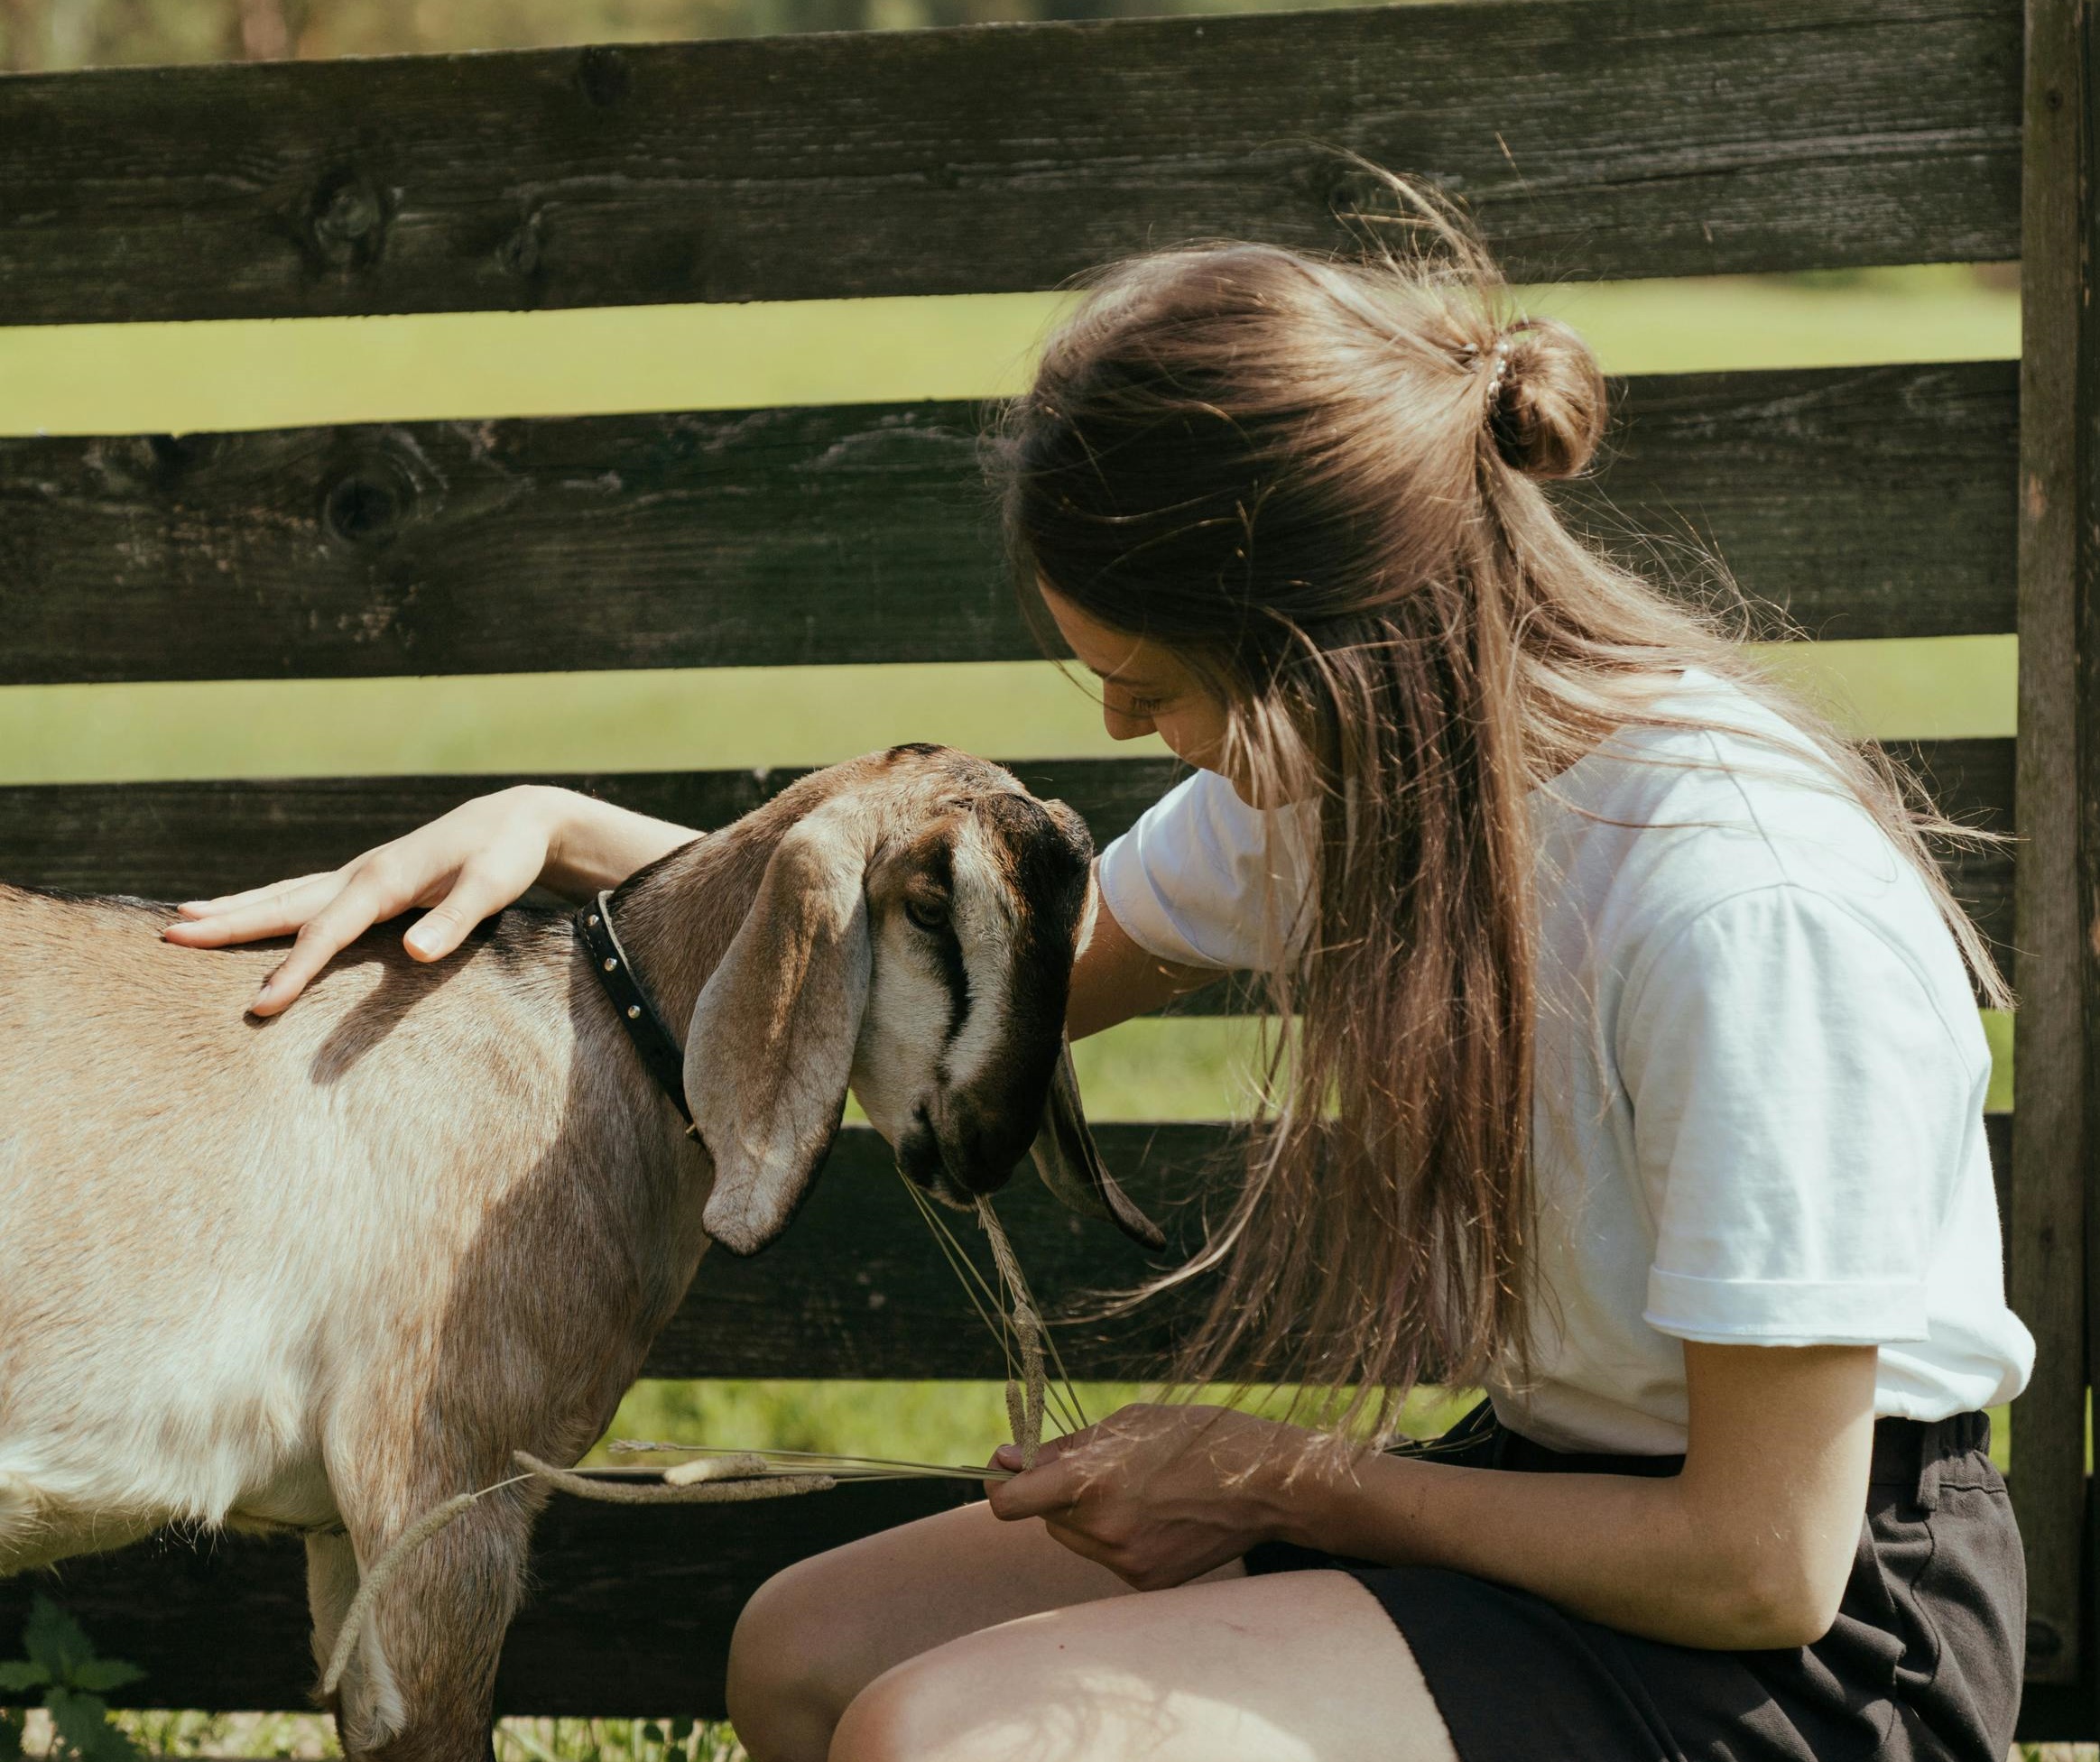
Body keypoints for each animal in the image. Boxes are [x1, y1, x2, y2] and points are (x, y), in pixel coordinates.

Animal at [0, 743, 1159, 1762]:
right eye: (925, 904)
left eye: (1070, 927)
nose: (988, 1143)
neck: (583, 1045)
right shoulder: (439, 1485)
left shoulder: (344, 1529)